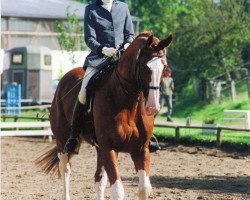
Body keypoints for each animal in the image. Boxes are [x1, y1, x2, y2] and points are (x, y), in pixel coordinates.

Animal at [36, 32, 173, 199]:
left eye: (164, 66)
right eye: (145, 67)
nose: (153, 107)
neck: (126, 102)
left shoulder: (141, 149)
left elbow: (144, 188)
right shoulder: (109, 147)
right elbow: (118, 190)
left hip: (99, 147)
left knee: (99, 179)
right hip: (63, 142)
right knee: (66, 170)